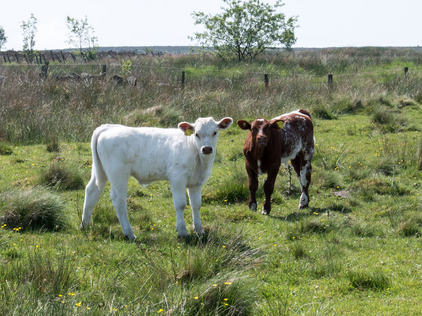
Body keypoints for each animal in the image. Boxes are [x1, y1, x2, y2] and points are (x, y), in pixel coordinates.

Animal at [81, 117, 232, 241]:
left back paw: (85, 225)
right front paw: (182, 232)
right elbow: (180, 204)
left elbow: (196, 205)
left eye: (215, 132)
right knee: (118, 199)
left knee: (92, 190)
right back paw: (129, 234)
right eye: (196, 134)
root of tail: (108, 127)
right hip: (118, 172)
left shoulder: (196, 183)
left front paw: (199, 231)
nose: (207, 149)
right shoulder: (177, 178)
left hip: (100, 171)